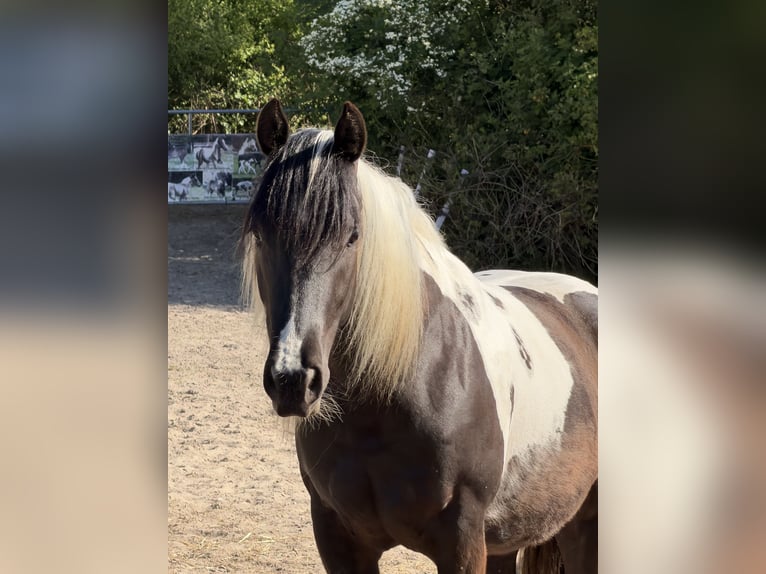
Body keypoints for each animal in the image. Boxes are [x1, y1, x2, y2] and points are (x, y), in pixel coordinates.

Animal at [240, 99, 598, 573]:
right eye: (260, 236)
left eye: (353, 237)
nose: (293, 379)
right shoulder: (337, 537)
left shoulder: (462, 543)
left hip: (583, 526)